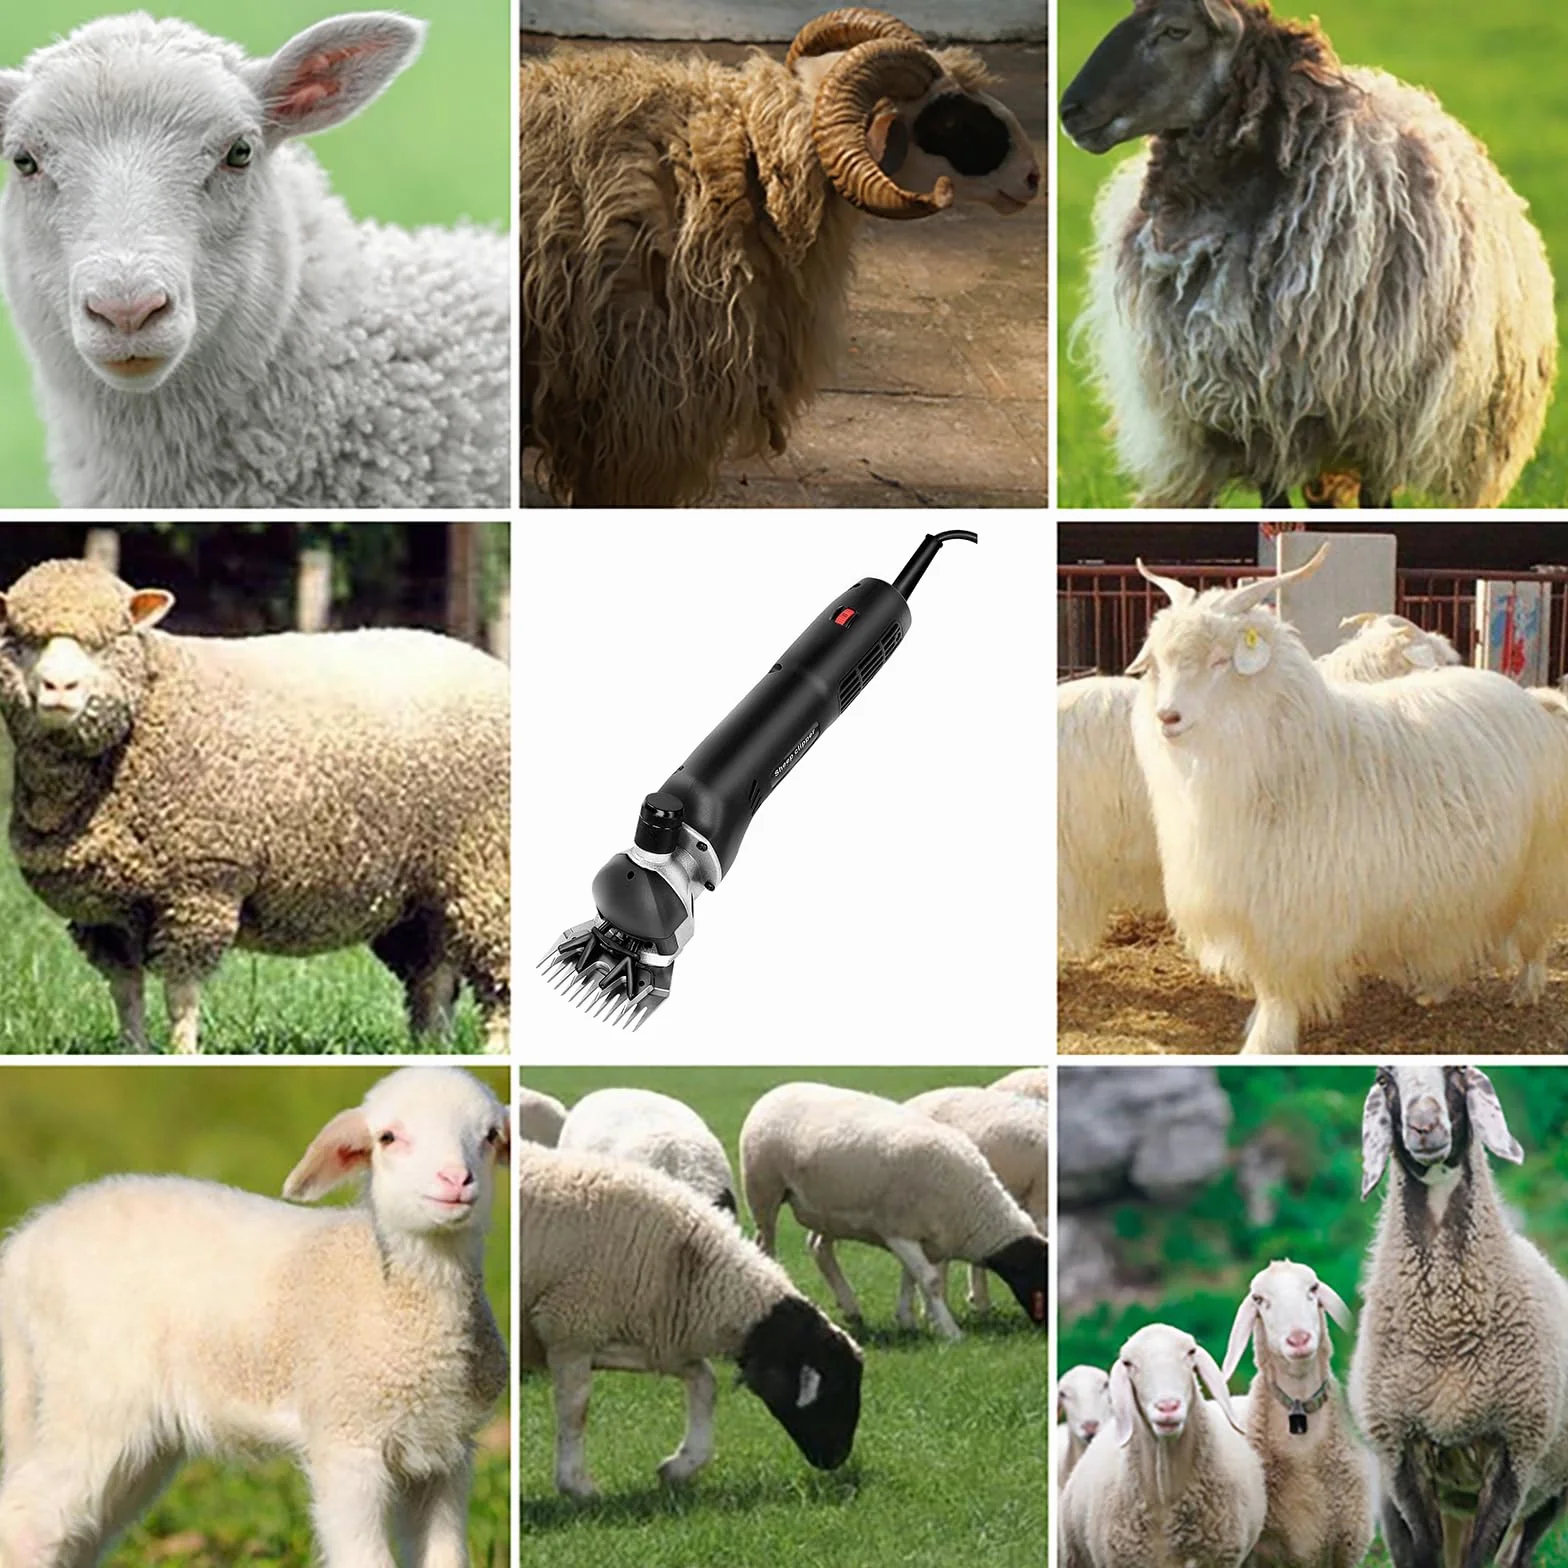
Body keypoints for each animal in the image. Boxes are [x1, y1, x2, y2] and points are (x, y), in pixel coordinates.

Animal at [0, 558, 510, 1054]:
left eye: (107, 643)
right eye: (19, 643)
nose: (58, 687)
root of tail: (488, 664)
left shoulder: (201, 886)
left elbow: (181, 994)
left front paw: (183, 1054)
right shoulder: (105, 912)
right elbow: (126, 993)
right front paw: (133, 1054)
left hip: (487, 869)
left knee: (496, 973)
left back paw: (494, 1051)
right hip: (424, 894)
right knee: (435, 978)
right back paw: (432, 1048)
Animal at [0, 1065, 510, 1566]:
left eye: (490, 1136)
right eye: (388, 1137)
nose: (455, 1180)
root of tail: (24, 1246)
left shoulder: (445, 1453)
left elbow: (445, 1556)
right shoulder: (346, 1440)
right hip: (94, 1394)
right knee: (25, 1523)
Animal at [519, 1144, 863, 1498]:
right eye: (837, 1387)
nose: (837, 1459)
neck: (687, 1264)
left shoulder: (644, 1340)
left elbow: (705, 1381)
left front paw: (679, 1467)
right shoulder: (568, 1328)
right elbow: (577, 1409)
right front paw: (577, 1486)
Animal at [1129, 544, 1568, 1052]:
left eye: (1221, 660)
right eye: (1158, 665)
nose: (1167, 717)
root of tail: (1535, 700)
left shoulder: (1289, 915)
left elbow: (1276, 991)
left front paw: (1265, 1040)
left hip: (1539, 869)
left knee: (1535, 936)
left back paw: (1526, 987)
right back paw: (1434, 988)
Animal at [1349, 1064, 1568, 1568]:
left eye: (1457, 1072)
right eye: (1384, 1079)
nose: (1424, 1126)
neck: (1444, 1325)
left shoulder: (1513, 1453)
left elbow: (1479, 1558)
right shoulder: (1402, 1456)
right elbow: (1424, 1555)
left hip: (1549, 1493)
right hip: (1406, 1495)